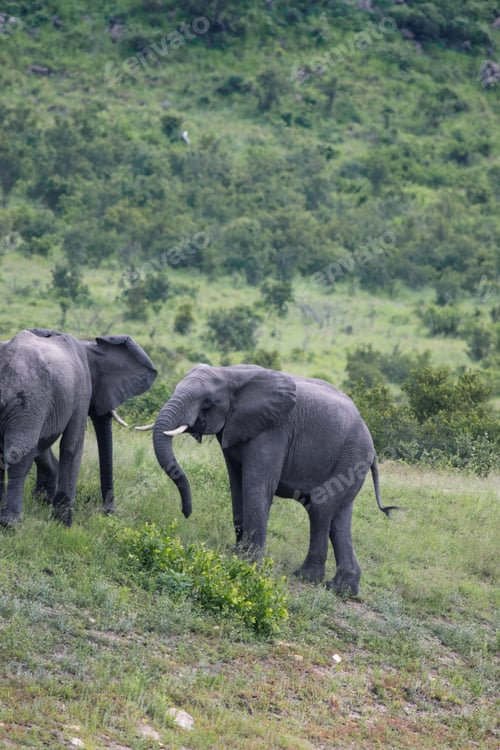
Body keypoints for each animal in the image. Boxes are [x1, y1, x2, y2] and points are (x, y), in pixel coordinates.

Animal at [0, 328, 157, 527]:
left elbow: (43, 444)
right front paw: (63, 525)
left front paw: (44, 502)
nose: (108, 513)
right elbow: (71, 445)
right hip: (28, 399)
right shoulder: (81, 390)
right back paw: (10, 525)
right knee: (18, 453)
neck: (89, 346)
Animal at [146, 364, 397, 596]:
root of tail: (371, 446)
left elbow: (256, 486)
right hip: (351, 461)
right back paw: (342, 589)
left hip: (352, 456)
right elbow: (236, 485)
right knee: (339, 519)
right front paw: (236, 553)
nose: (186, 512)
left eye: (208, 401)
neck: (230, 373)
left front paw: (247, 563)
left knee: (320, 508)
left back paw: (307, 577)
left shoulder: (273, 431)